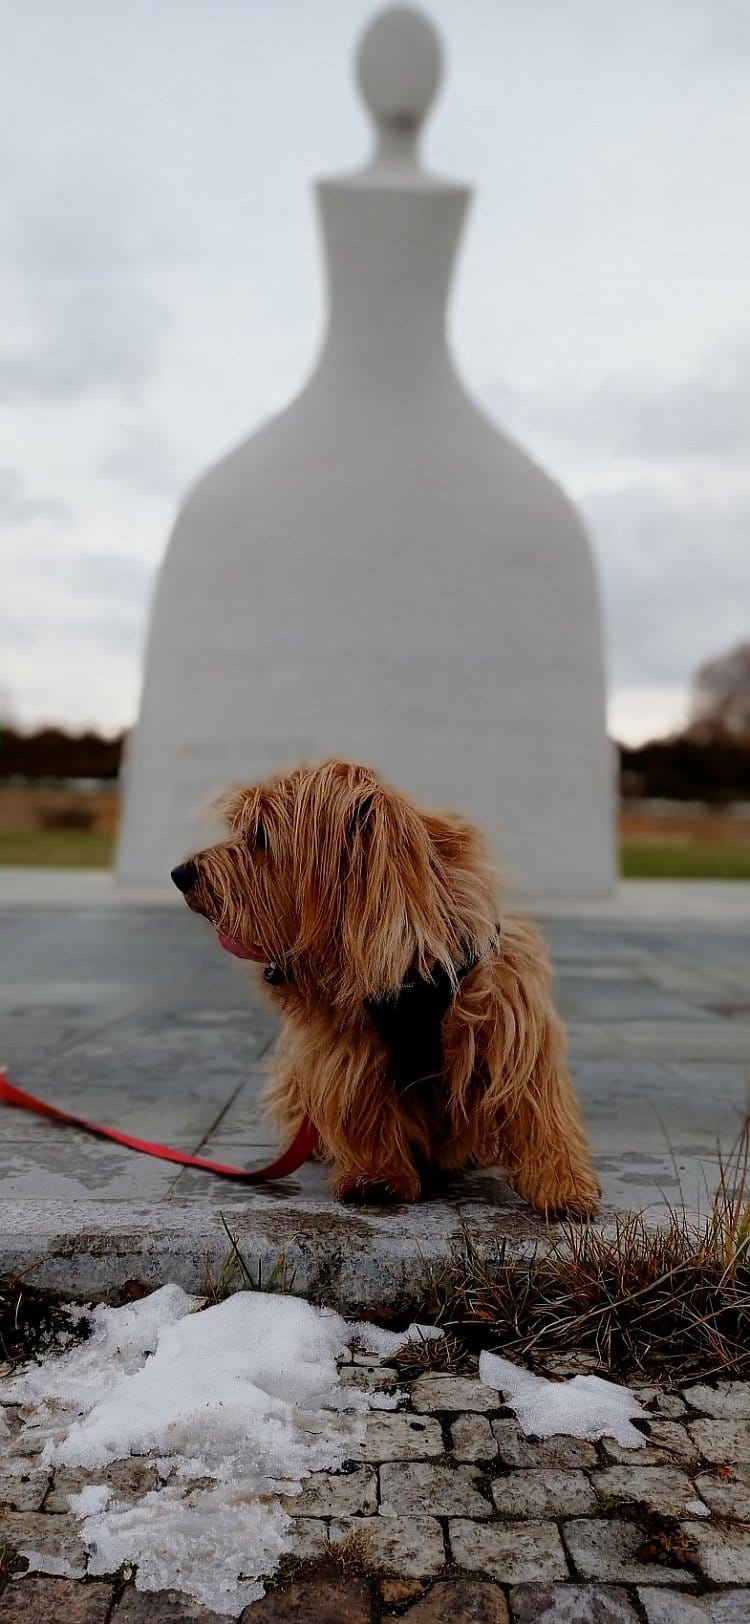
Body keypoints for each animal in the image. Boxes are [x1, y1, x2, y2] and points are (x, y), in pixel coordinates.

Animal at [171, 763, 603, 1221]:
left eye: (261, 837)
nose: (181, 873)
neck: (410, 955)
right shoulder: (351, 1047)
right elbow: (367, 1108)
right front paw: (377, 1175)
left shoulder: (513, 1026)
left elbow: (541, 1112)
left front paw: (563, 1185)